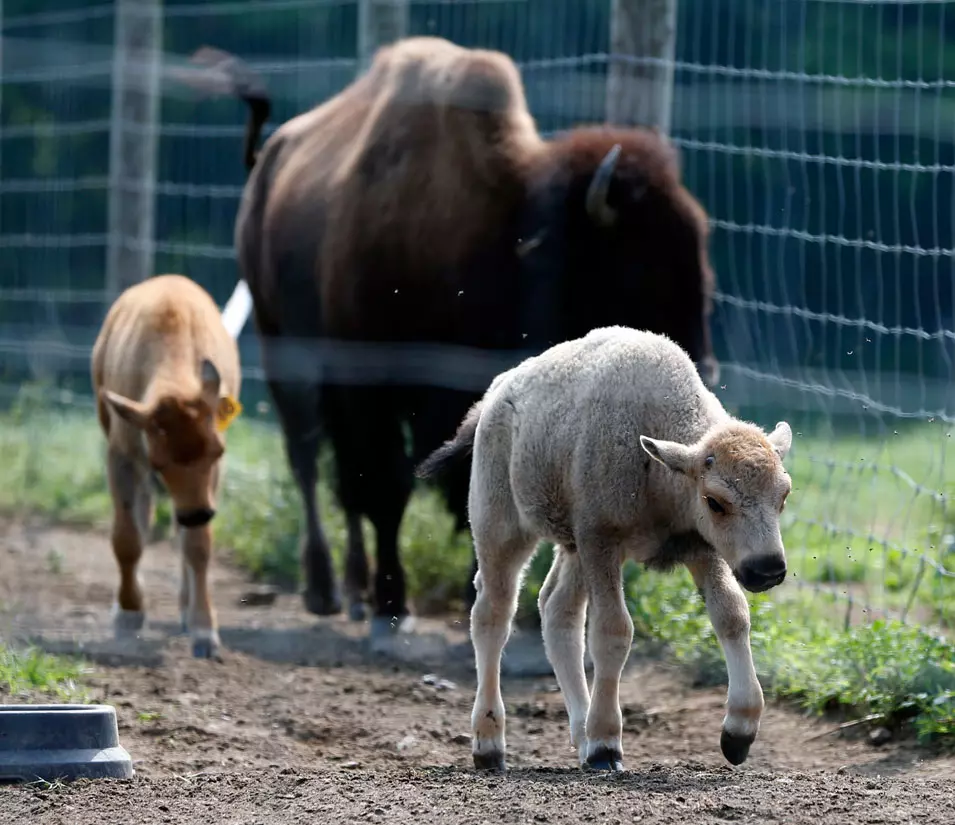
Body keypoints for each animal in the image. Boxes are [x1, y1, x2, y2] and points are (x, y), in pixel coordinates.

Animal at [92, 274, 245, 660]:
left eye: (218, 452)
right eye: (159, 463)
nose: (196, 513)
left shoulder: (209, 481)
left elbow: (197, 546)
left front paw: (204, 631)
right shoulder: (123, 457)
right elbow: (127, 538)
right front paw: (128, 613)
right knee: (143, 521)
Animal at [192, 35, 716, 636]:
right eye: (637, 263)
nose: (702, 365)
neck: (501, 232)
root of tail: (266, 164)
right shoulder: (373, 388)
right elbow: (386, 488)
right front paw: (393, 604)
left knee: (340, 481)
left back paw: (352, 590)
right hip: (286, 355)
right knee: (309, 463)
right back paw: (326, 590)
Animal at [414, 326, 796, 772]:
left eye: (783, 495)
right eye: (715, 501)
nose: (767, 569)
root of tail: (495, 392)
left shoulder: (701, 549)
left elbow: (731, 615)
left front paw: (739, 732)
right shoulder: (602, 541)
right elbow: (613, 631)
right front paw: (605, 745)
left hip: (572, 546)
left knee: (556, 610)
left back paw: (579, 733)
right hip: (503, 529)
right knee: (493, 613)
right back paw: (491, 745)